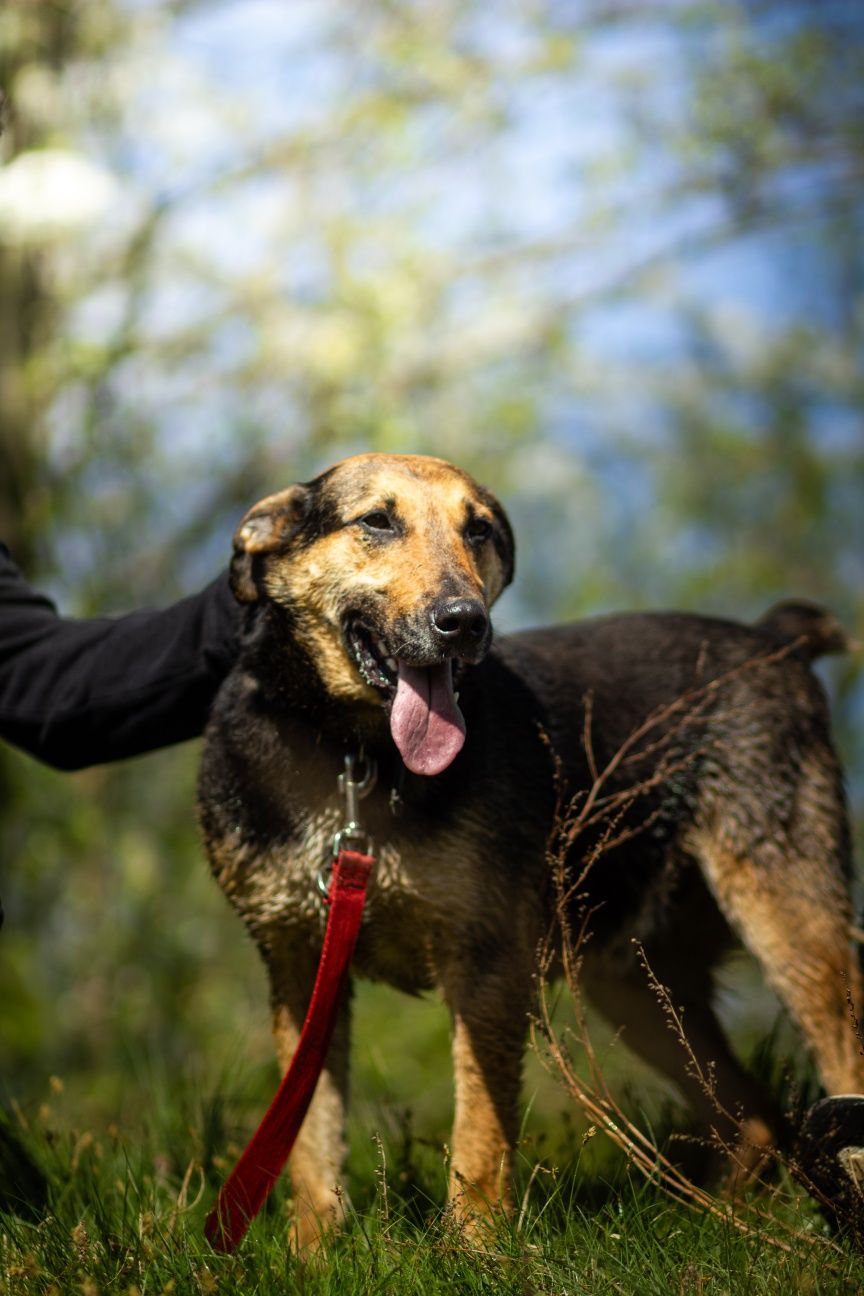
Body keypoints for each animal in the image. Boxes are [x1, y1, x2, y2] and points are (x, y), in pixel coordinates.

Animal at [198, 453, 864, 1244]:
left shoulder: (487, 962)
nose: (464, 623)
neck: (354, 757)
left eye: (479, 530)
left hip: (796, 933)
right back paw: (725, 1220)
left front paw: (475, 1251)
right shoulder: (300, 962)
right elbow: (307, 1134)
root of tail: (773, 640)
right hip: (635, 982)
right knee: (754, 1117)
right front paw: (313, 1252)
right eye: (377, 521)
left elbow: (480, 1136)